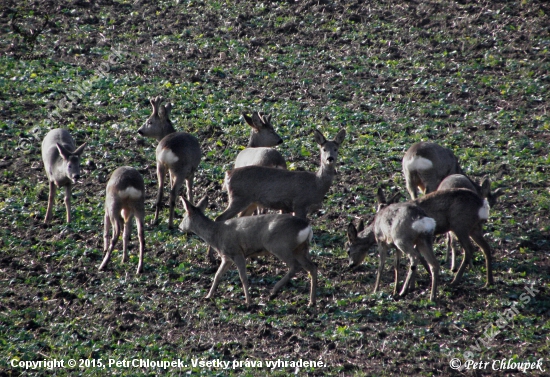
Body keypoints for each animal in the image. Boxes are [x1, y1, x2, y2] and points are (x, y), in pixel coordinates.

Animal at [138, 95, 203, 228]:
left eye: (149, 121)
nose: (139, 130)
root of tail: (166, 149)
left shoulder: (171, 172)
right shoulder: (191, 171)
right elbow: (189, 190)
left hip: (160, 165)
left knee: (160, 191)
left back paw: (155, 221)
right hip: (181, 169)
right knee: (173, 193)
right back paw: (170, 224)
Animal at [180, 195, 320, 306]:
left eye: (183, 215)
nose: (180, 226)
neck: (216, 235)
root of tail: (307, 227)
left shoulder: (237, 252)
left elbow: (243, 277)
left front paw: (248, 302)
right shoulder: (227, 257)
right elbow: (217, 275)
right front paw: (208, 296)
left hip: (280, 246)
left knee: (295, 266)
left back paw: (273, 291)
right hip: (300, 249)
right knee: (312, 267)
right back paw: (311, 302)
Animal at [215, 129, 344, 222]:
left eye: (336, 149)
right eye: (324, 149)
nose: (330, 158)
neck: (316, 184)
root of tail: (228, 174)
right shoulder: (299, 203)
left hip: (250, 201)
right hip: (238, 198)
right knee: (219, 218)